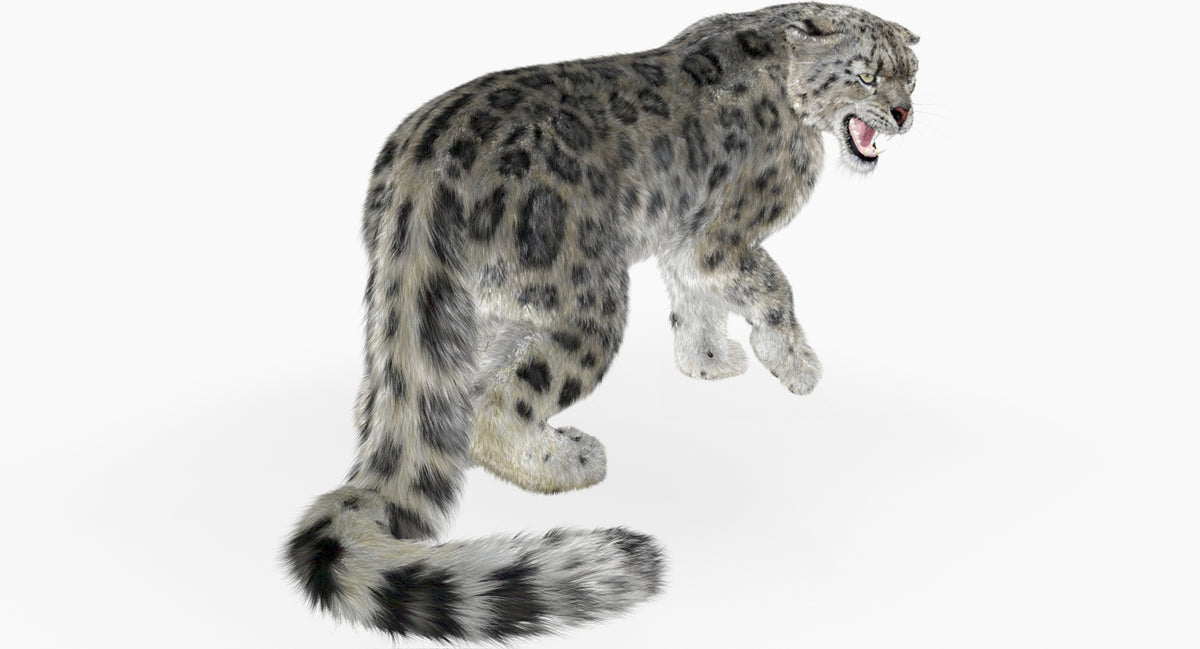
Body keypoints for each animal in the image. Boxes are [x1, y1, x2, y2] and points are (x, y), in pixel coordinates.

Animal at [284, 2, 919, 642]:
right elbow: (772, 289)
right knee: (499, 408)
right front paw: (797, 365)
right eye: (867, 76)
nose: (903, 114)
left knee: (404, 401)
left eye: (910, 76)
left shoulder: (683, 239)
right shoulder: (720, 237)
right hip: (590, 299)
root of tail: (420, 173)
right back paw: (568, 460)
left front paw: (710, 361)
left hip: (458, 313)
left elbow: (693, 302)